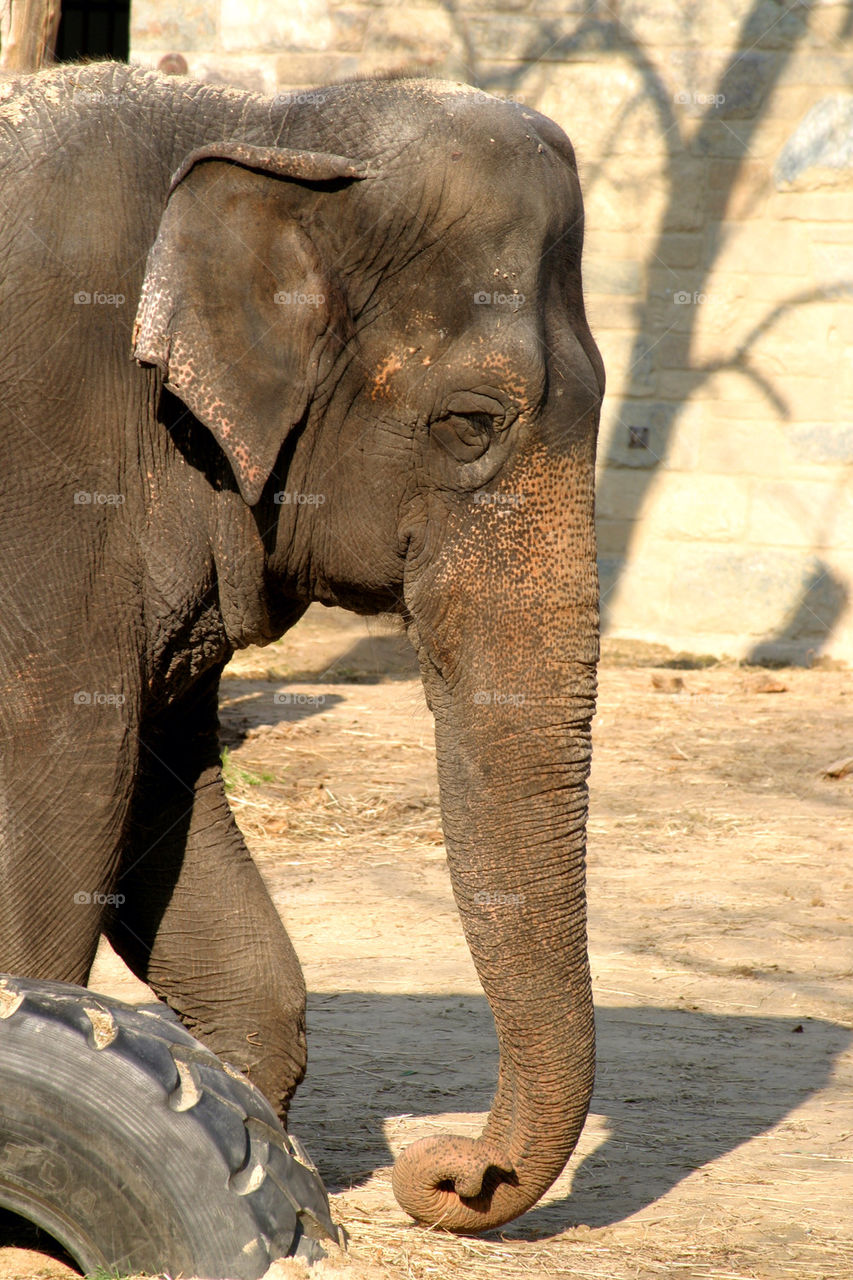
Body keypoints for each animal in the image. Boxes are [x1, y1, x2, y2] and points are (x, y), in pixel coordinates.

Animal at [0, 61, 605, 1233]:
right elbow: (63, 792)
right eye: (470, 423)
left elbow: (158, 790)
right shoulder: (47, 479)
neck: (266, 122)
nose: (451, 1171)